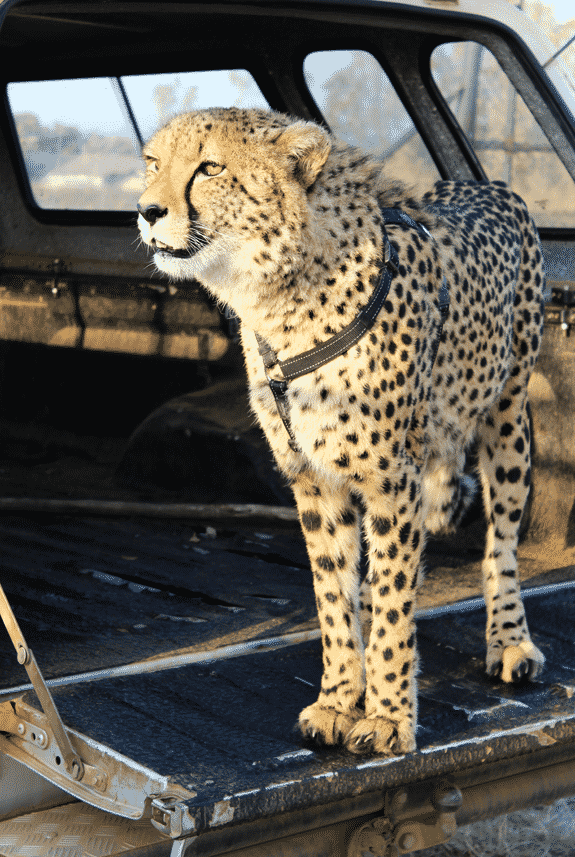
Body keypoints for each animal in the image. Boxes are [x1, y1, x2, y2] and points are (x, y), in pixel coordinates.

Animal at [137, 108, 548, 756]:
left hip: (507, 414)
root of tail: (488, 185)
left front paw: (387, 717)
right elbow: (333, 595)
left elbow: (393, 604)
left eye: (211, 168)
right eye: (153, 163)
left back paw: (509, 640)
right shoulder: (312, 478)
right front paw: (337, 701)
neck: (283, 292)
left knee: (500, 542)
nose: (147, 210)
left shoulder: (390, 481)